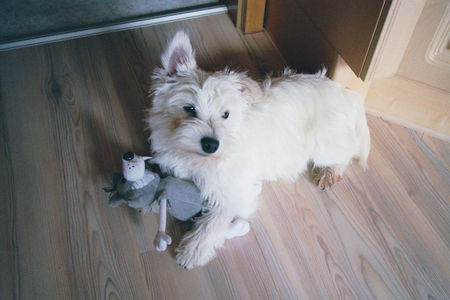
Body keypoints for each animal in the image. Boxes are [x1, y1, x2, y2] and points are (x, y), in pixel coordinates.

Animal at [147, 31, 370, 268]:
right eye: (189, 108)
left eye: (226, 114)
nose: (211, 144)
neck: (198, 159)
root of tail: (346, 93)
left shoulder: (234, 190)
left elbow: (215, 220)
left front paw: (194, 250)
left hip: (324, 142)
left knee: (347, 152)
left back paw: (330, 172)